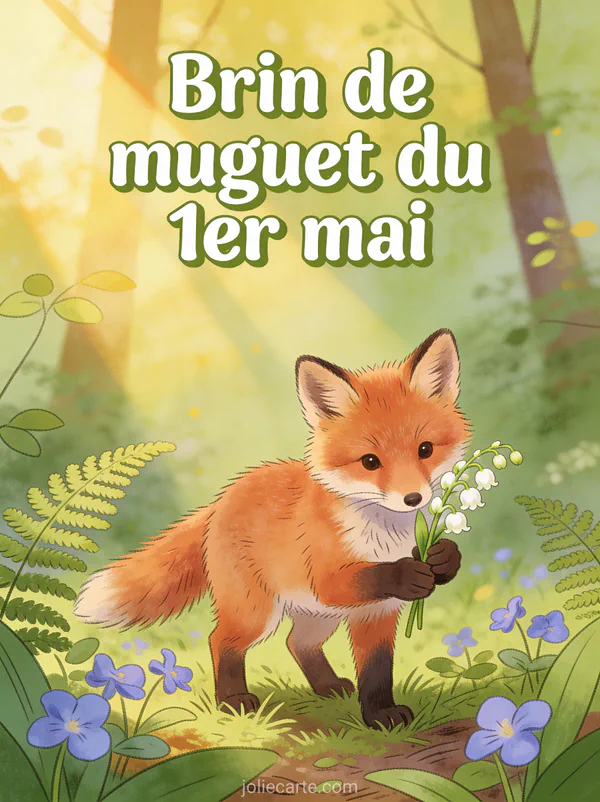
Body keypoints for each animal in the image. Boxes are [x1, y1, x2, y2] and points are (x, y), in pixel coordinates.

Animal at [75, 328, 470, 729]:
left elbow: (376, 670)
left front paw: (380, 714)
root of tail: (223, 499)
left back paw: (328, 686)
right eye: (370, 462)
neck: (384, 540)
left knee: (296, 643)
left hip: (318, 616)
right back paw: (232, 700)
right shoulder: (331, 581)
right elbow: (371, 582)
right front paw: (408, 574)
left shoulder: (376, 612)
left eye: (425, 449)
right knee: (221, 640)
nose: (413, 498)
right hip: (257, 613)